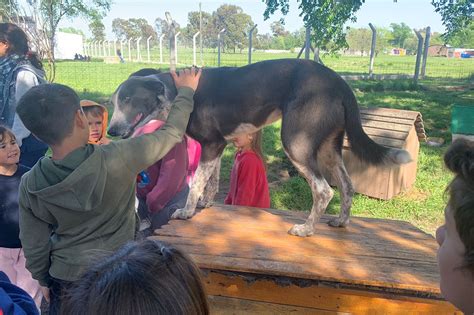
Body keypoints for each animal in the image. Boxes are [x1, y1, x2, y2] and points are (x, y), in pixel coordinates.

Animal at [108, 59, 412, 237]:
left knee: (324, 190)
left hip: (297, 142)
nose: (111, 131)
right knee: (347, 186)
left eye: (128, 99)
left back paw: (306, 229)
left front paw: (186, 212)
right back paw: (341, 222)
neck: (175, 90)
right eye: (114, 101)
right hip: (329, 148)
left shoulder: (211, 144)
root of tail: (339, 81)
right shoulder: (217, 146)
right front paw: (205, 205)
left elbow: (195, 184)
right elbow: (210, 181)